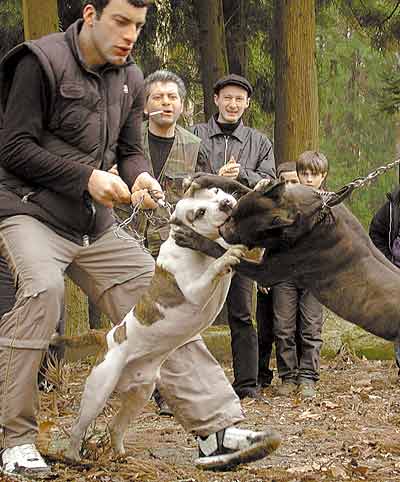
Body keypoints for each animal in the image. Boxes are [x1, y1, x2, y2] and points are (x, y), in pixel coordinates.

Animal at [65, 186, 245, 462]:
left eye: (215, 190)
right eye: (200, 213)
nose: (225, 202)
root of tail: (107, 337)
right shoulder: (196, 291)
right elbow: (214, 267)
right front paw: (225, 257)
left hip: (140, 394)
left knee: (116, 425)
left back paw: (120, 455)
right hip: (98, 392)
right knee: (78, 427)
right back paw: (74, 458)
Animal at [177, 175, 400, 340]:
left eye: (245, 236)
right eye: (233, 215)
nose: (223, 231)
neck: (313, 218)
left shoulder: (266, 271)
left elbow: (219, 250)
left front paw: (192, 238)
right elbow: (241, 186)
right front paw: (204, 179)